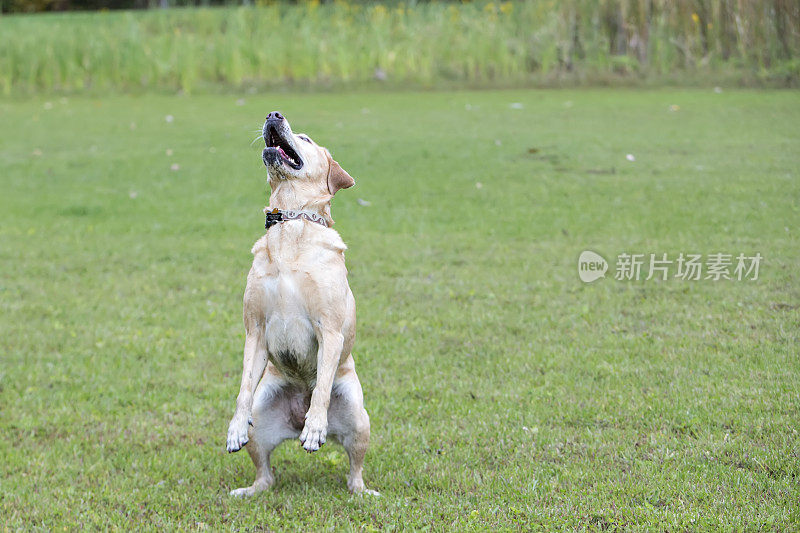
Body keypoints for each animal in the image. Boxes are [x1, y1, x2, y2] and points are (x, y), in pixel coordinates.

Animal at [225, 111, 376, 494]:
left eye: (305, 139)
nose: (273, 114)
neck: (290, 223)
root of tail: (293, 419)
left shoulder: (331, 330)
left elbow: (321, 387)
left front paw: (315, 427)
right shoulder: (255, 330)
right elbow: (243, 386)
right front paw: (234, 427)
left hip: (358, 417)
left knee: (354, 470)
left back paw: (360, 490)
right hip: (262, 416)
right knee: (265, 474)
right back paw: (250, 490)